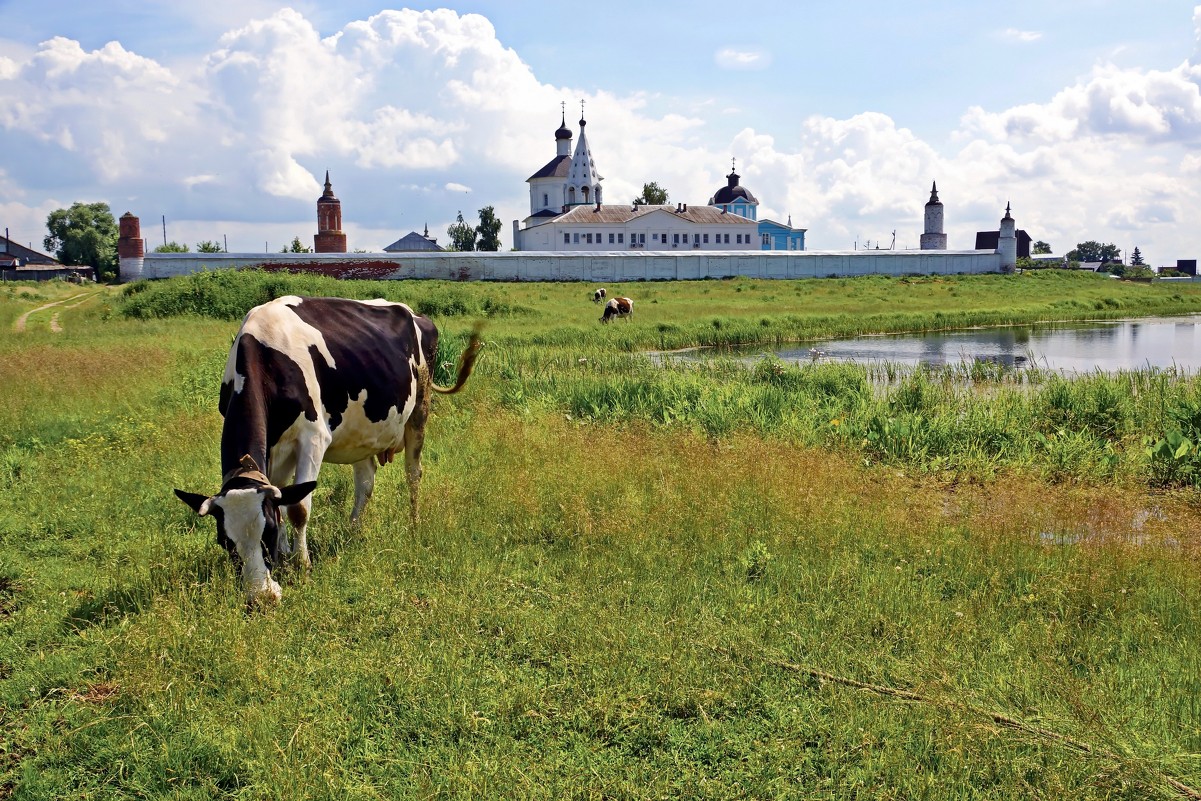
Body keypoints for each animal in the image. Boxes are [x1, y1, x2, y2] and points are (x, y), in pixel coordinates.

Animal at [175, 297, 482, 605]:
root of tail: (412, 311)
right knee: (365, 482)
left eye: (268, 532)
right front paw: (285, 558)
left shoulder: (313, 437)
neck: (267, 355)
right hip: (363, 434)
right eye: (224, 541)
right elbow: (282, 497)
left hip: (420, 408)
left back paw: (414, 525)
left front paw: (303, 566)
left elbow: (297, 507)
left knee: (413, 474)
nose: (261, 598)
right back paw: (354, 531)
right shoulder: (276, 448)